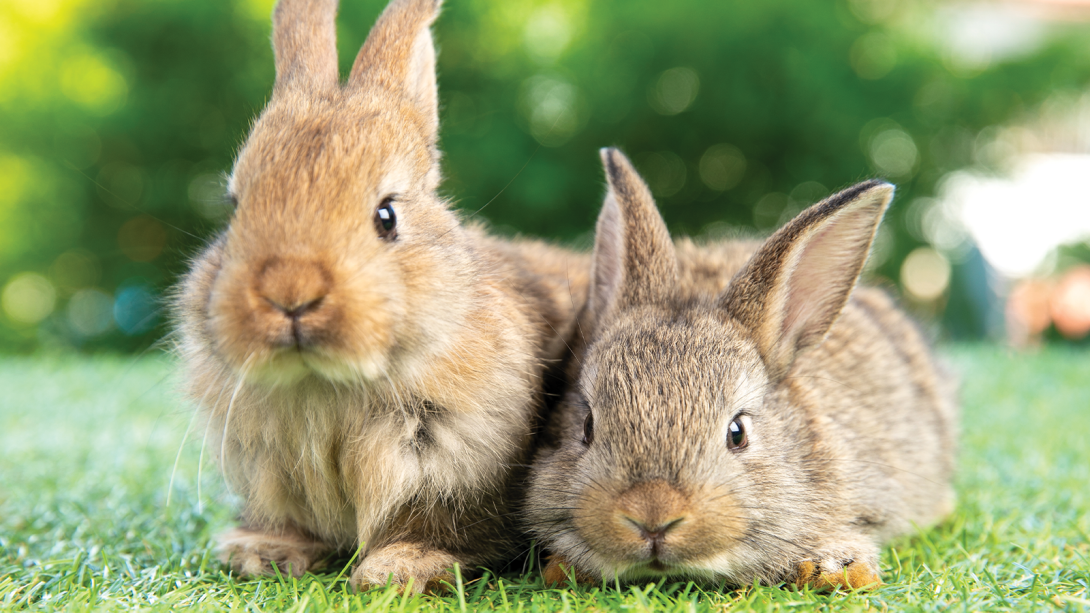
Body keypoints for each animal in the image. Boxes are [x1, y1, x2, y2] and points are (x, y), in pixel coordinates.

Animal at [172, 0, 588, 593]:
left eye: (386, 216)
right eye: (235, 209)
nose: (290, 293)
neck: (327, 384)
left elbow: (443, 530)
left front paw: (397, 569)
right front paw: (262, 552)